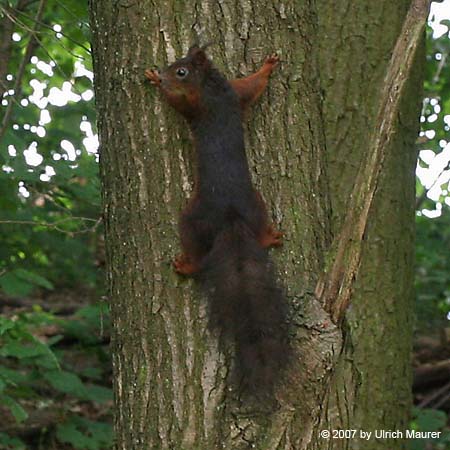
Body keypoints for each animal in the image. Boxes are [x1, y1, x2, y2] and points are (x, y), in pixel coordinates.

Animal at [146, 45, 290, 396]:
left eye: (181, 71)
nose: (163, 72)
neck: (211, 84)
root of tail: (231, 215)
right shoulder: (236, 92)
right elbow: (252, 86)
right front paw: (267, 67)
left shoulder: (195, 103)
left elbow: (177, 104)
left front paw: (156, 81)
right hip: (257, 204)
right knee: (260, 228)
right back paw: (270, 237)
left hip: (192, 217)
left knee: (196, 250)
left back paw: (186, 265)